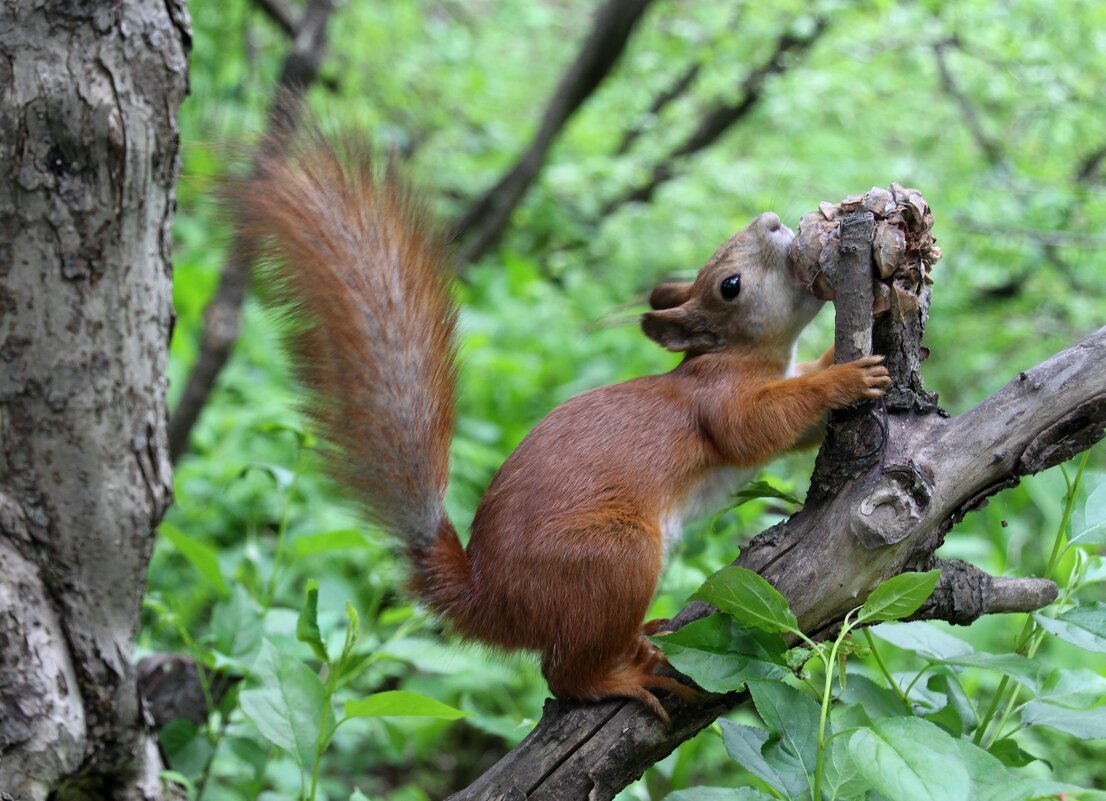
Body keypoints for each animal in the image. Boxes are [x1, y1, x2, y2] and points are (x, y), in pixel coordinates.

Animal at [233, 131, 889, 721]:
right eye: (731, 286)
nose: (773, 221)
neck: (743, 356)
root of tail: (490, 603)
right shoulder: (715, 402)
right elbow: (754, 430)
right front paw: (842, 379)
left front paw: (841, 360)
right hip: (611, 557)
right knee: (563, 673)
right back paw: (621, 678)